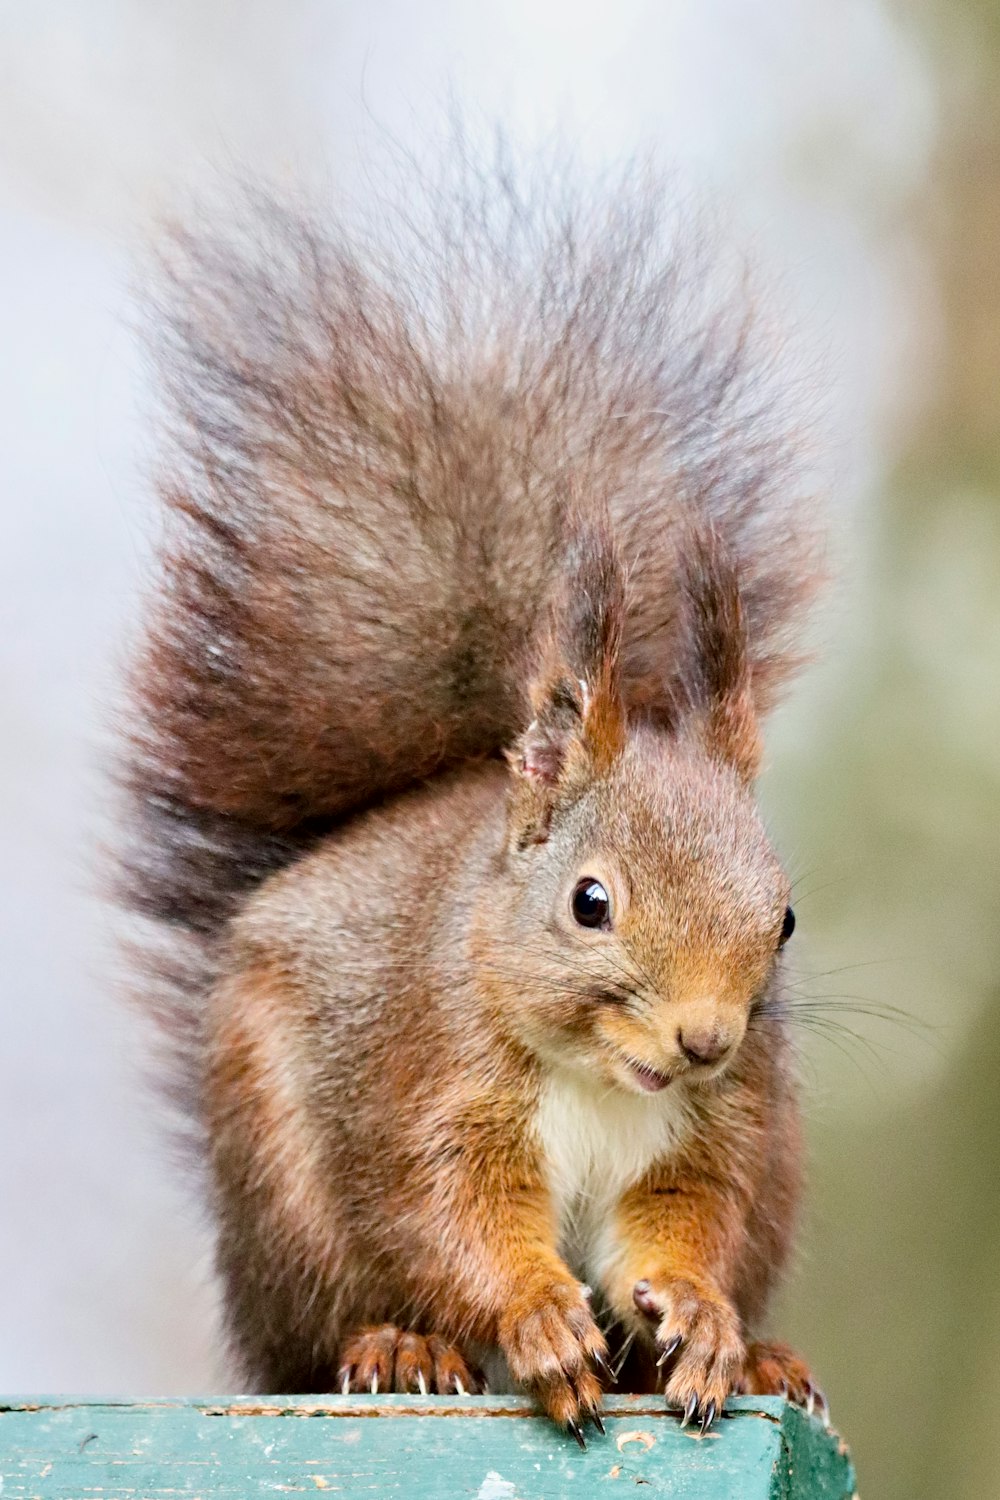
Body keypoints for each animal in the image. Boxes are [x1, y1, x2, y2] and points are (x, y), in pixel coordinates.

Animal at [121, 161, 827, 1440]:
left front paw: (701, 1317)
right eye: (590, 902)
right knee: (320, 1332)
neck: (599, 1075)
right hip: (282, 1200)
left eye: (785, 918)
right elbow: (449, 1215)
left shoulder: (720, 1133)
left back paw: (753, 1356)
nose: (704, 1039)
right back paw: (396, 1347)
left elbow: (686, 1223)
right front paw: (538, 1316)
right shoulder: (431, 1087)